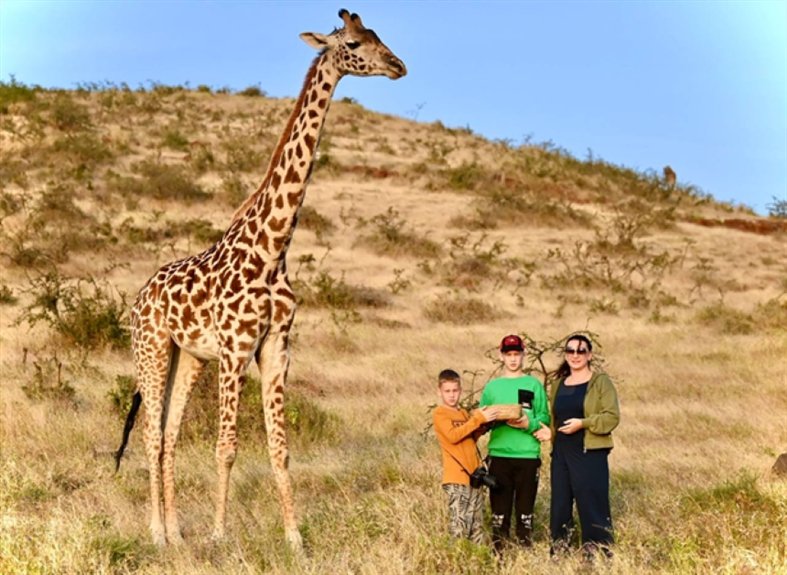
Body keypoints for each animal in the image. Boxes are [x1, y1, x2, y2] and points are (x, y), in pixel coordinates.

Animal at [114, 6, 410, 552]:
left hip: (189, 356)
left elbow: (279, 447)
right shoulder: (235, 348)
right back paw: (157, 534)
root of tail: (140, 295)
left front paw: (294, 538)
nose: (398, 65)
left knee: (169, 435)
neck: (273, 250)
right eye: (354, 42)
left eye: (379, 35)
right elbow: (227, 445)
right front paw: (219, 533)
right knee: (149, 433)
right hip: (152, 347)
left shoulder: (276, 345)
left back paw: (176, 532)